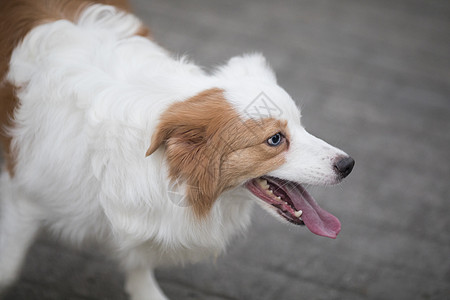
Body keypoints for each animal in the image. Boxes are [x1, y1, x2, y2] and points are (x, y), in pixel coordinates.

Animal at [0, 1, 354, 298]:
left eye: (301, 124)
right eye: (275, 139)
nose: (348, 164)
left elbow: (139, 259)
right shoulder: (24, 196)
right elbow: (10, 268)